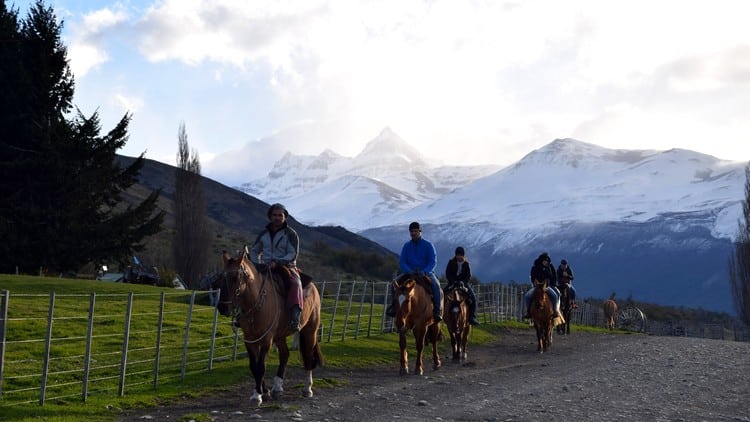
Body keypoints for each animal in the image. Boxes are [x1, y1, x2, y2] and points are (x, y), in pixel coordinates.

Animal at [216, 249, 324, 408]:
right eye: (222, 277)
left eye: (235, 278)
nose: (222, 307)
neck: (257, 303)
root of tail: (313, 287)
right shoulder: (250, 339)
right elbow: (254, 366)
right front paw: (263, 391)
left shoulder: (266, 339)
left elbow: (261, 366)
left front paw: (257, 396)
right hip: (280, 335)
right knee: (284, 355)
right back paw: (277, 388)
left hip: (310, 330)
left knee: (309, 357)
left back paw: (307, 389)